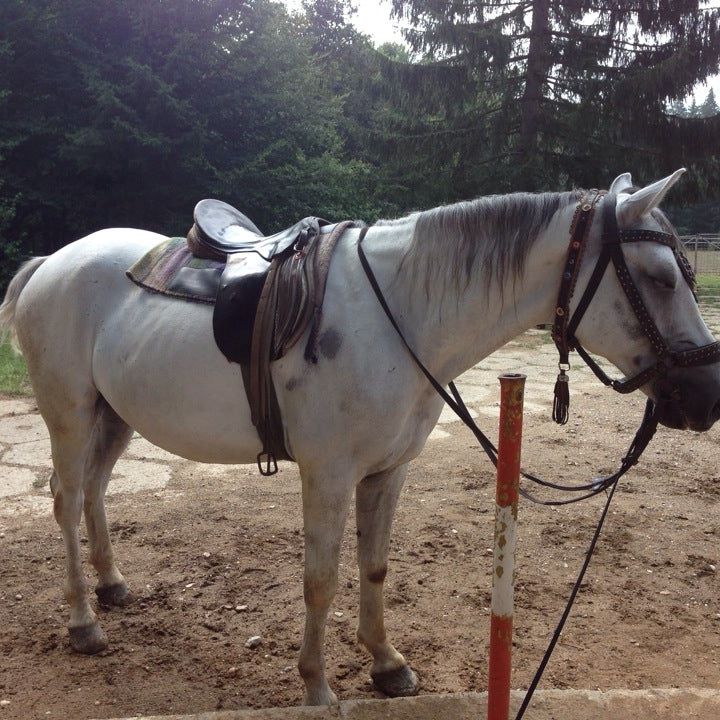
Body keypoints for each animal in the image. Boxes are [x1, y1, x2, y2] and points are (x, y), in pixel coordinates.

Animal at [4, 169, 720, 704]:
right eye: (659, 279)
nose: (706, 398)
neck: (400, 312)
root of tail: (52, 262)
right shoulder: (328, 474)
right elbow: (320, 577)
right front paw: (317, 688)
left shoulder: (387, 470)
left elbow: (374, 565)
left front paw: (386, 664)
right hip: (70, 416)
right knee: (66, 502)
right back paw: (83, 622)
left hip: (113, 416)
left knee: (95, 493)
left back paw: (112, 586)